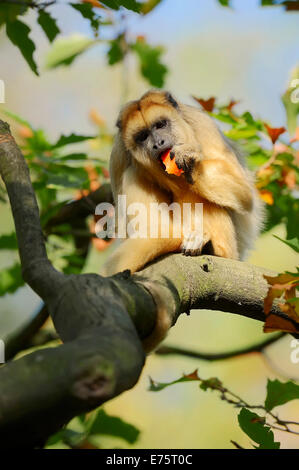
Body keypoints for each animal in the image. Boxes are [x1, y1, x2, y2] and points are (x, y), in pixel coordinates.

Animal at [101, 90, 264, 350]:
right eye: (143, 136)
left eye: (160, 125)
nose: (158, 143)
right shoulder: (118, 156)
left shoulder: (203, 124)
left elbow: (243, 193)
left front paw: (189, 160)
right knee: (135, 173)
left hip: (231, 248)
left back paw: (209, 246)